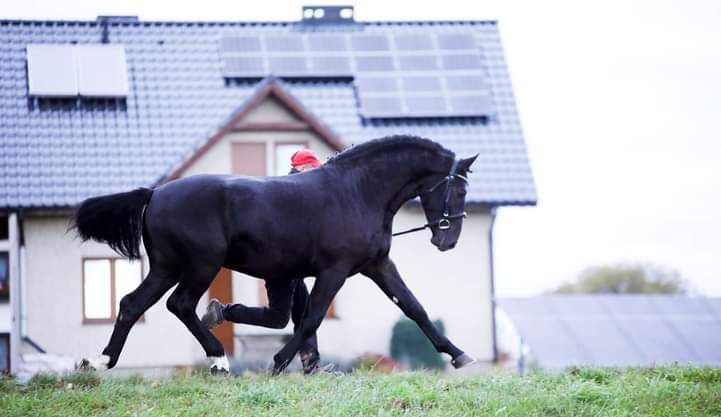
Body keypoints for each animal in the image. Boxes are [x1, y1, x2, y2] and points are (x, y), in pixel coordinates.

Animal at [74, 135, 478, 372]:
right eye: (458, 191)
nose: (448, 241)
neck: (358, 191)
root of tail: (155, 193)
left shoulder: (378, 265)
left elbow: (414, 307)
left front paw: (459, 354)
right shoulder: (334, 271)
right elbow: (312, 318)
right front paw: (280, 361)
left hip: (166, 267)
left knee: (132, 303)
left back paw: (100, 360)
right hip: (201, 265)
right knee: (180, 304)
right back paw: (218, 358)